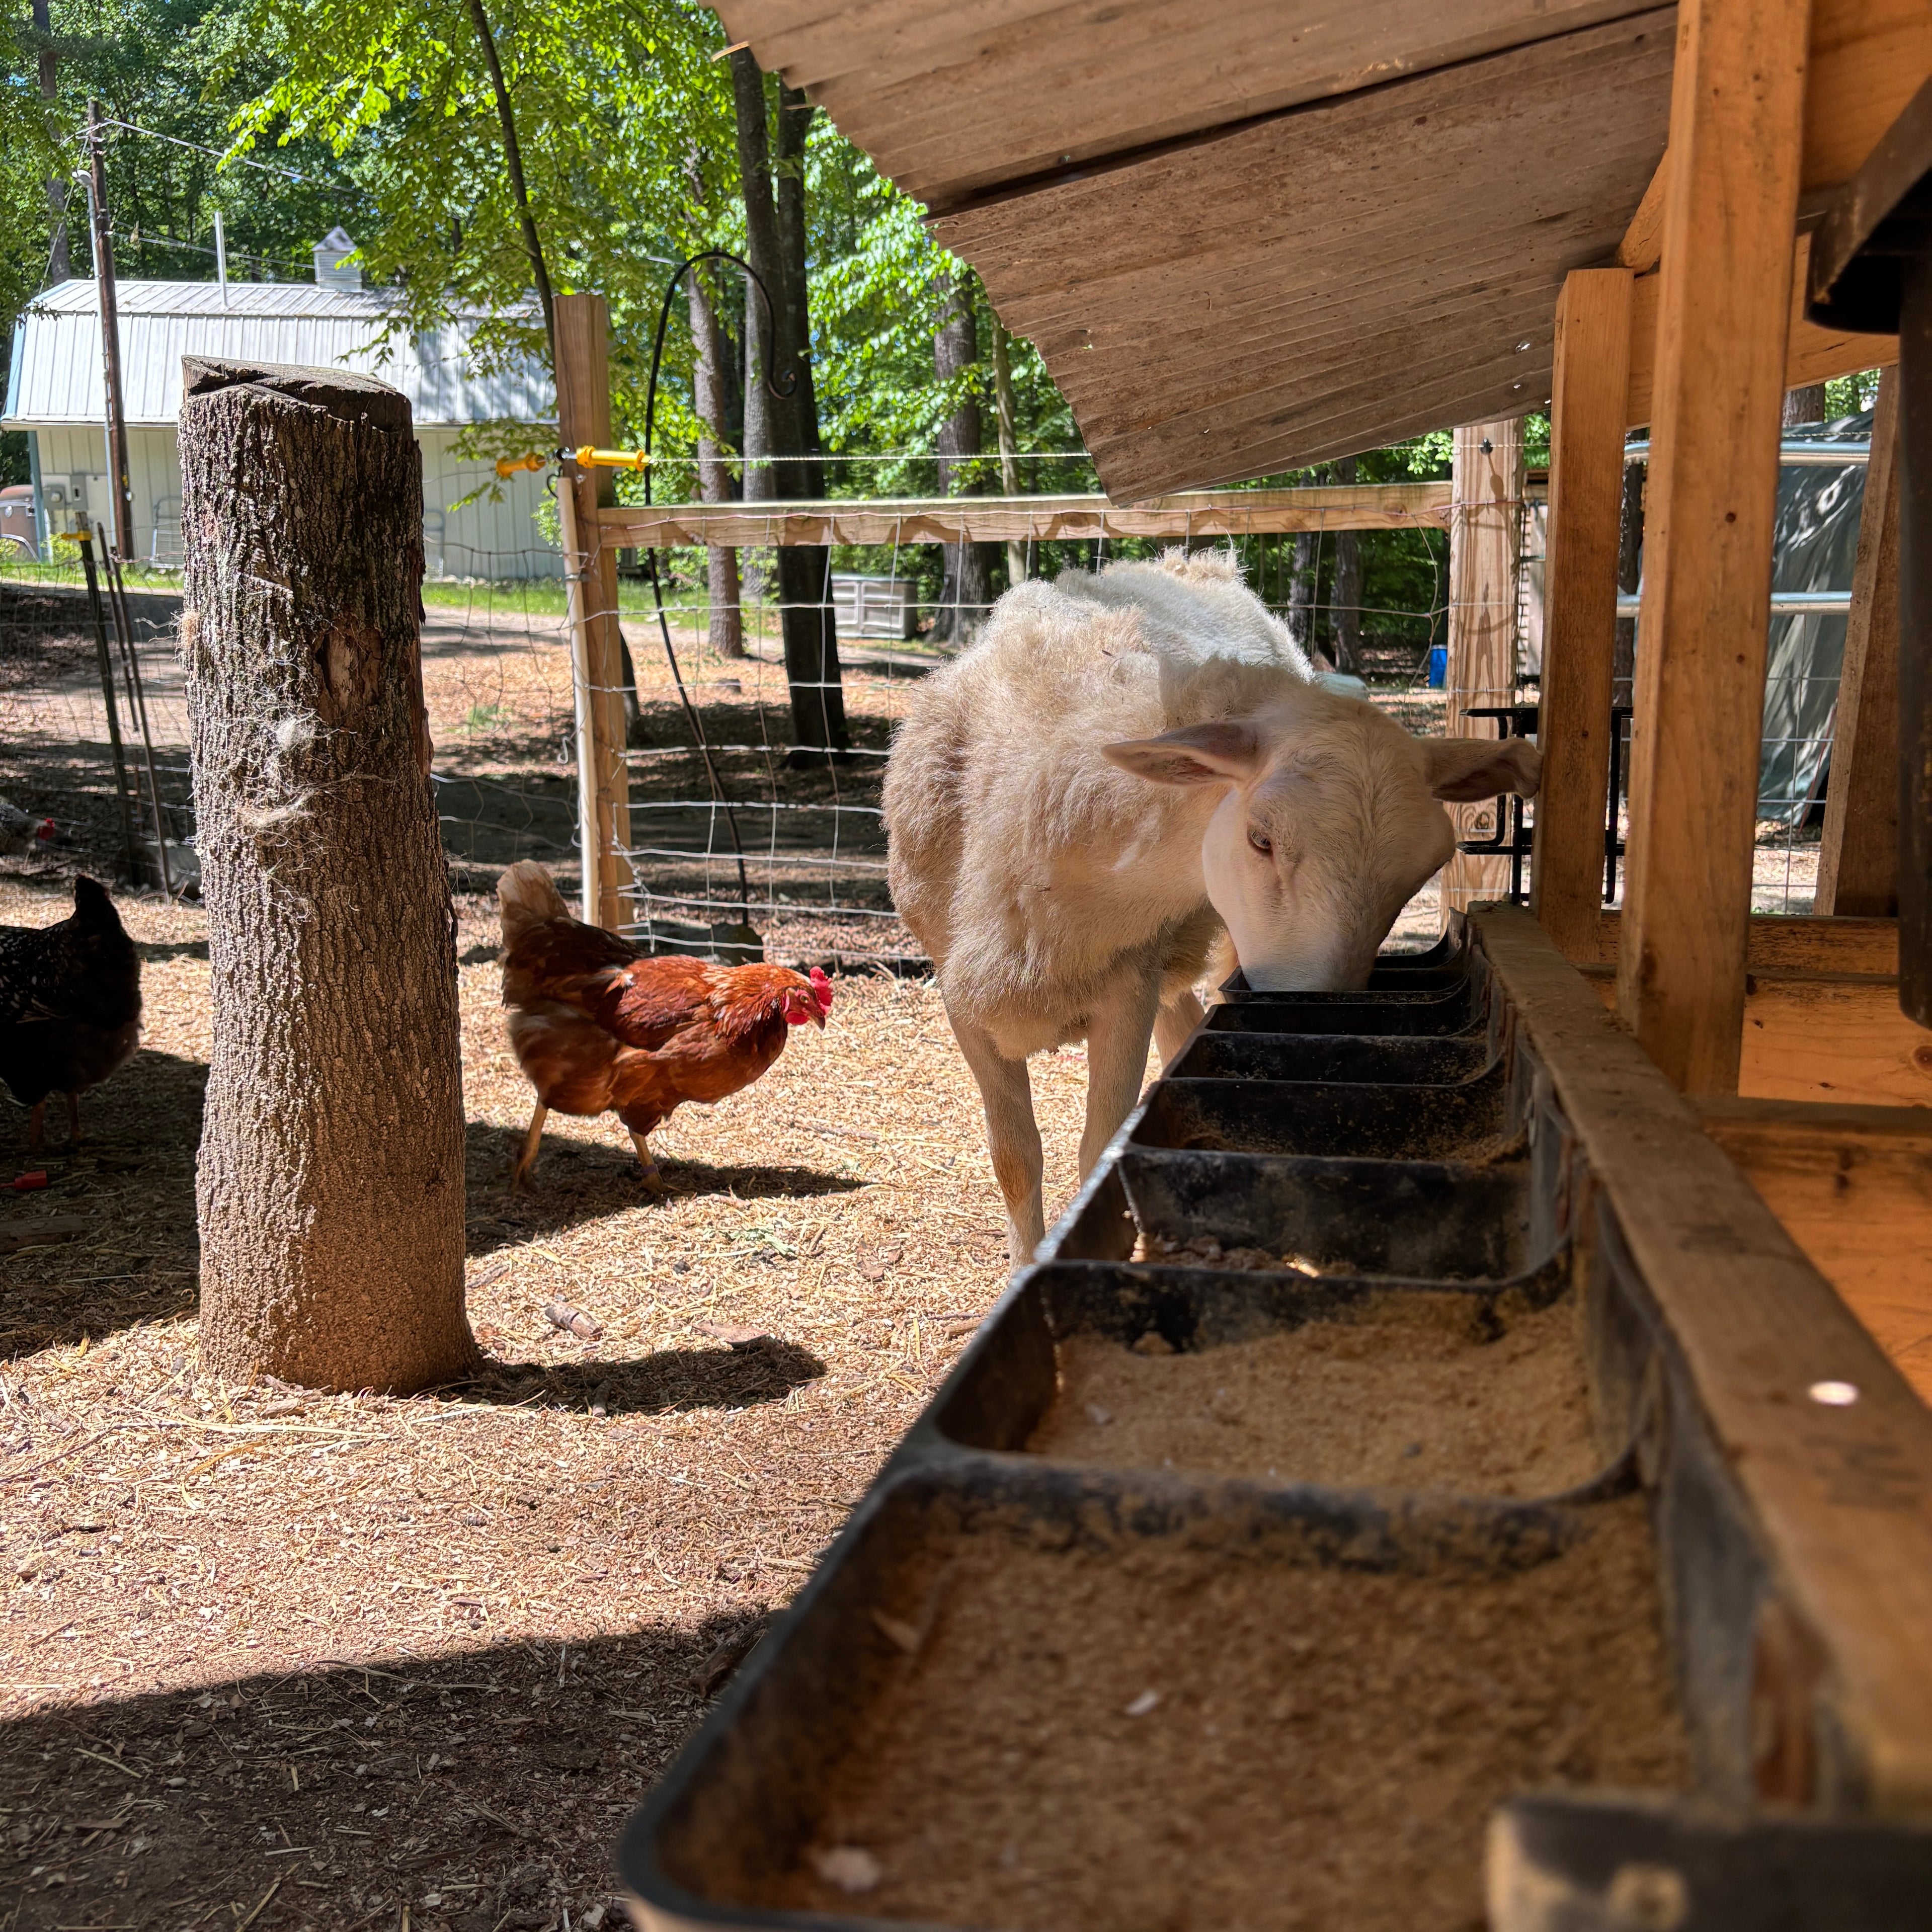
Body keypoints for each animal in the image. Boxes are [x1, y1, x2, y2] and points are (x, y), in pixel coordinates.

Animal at [882, 550, 1540, 1261]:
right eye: (1261, 839)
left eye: (1424, 870)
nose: (1312, 1018)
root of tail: (1197, 562)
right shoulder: (959, 993)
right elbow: (1014, 1157)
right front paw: (1023, 1264)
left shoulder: (1128, 985)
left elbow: (1098, 1152)